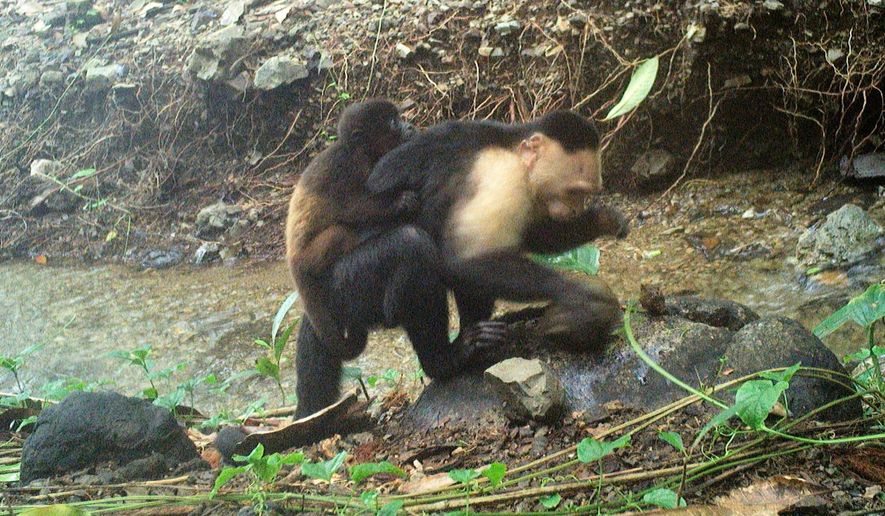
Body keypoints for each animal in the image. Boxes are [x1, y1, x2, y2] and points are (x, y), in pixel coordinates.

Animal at [285, 99, 419, 350]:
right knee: (339, 232)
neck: (358, 151)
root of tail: (292, 262)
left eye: (399, 118)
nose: (410, 126)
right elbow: (350, 207)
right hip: (309, 257)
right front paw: (401, 201)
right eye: (393, 122)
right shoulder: (348, 168)